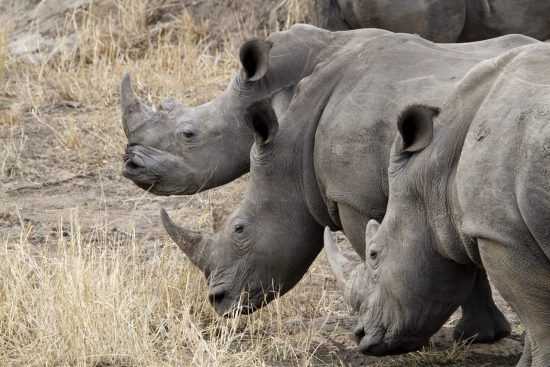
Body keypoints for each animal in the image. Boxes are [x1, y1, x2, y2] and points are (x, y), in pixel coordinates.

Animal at [328, 42, 550, 366]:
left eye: (374, 253)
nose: (359, 336)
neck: (438, 168)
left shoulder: (504, 235)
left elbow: (539, 323)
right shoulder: (509, 233)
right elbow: (534, 329)